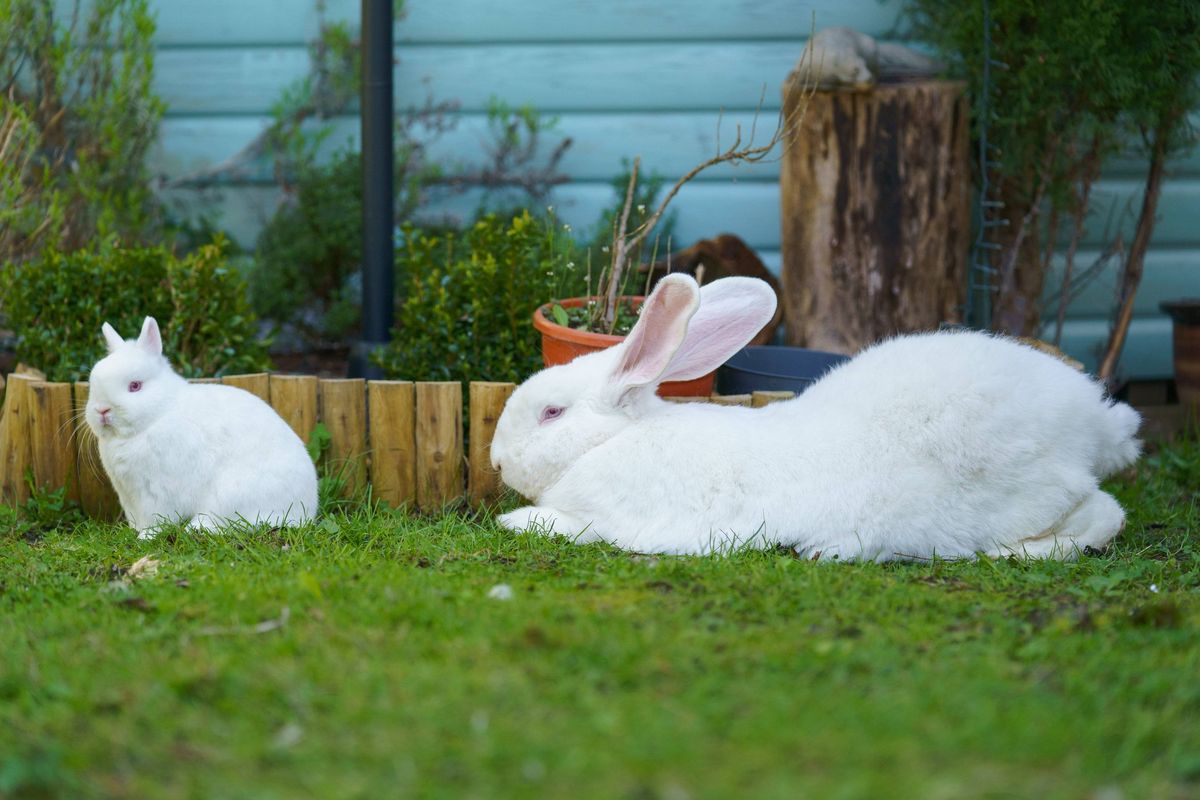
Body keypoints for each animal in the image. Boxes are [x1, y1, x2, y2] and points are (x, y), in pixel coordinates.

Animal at [85, 317, 318, 538]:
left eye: (135, 386)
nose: (102, 410)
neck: (160, 414)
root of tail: (306, 511)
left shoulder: (157, 492)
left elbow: (157, 518)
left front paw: (146, 536)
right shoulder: (128, 495)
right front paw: (135, 532)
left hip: (229, 497)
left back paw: (195, 528)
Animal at [489, 274, 1142, 560]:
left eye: (551, 413)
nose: (495, 461)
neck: (610, 442)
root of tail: (1095, 420)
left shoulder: (609, 517)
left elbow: (556, 524)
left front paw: (515, 520)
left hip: (1025, 494)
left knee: (1102, 517)